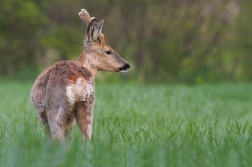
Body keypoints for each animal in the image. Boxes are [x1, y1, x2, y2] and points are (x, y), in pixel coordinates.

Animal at [30, 9, 130, 142]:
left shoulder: (41, 113)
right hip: (87, 105)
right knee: (86, 138)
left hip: (57, 106)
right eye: (108, 51)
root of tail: (79, 79)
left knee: (58, 137)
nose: (127, 65)